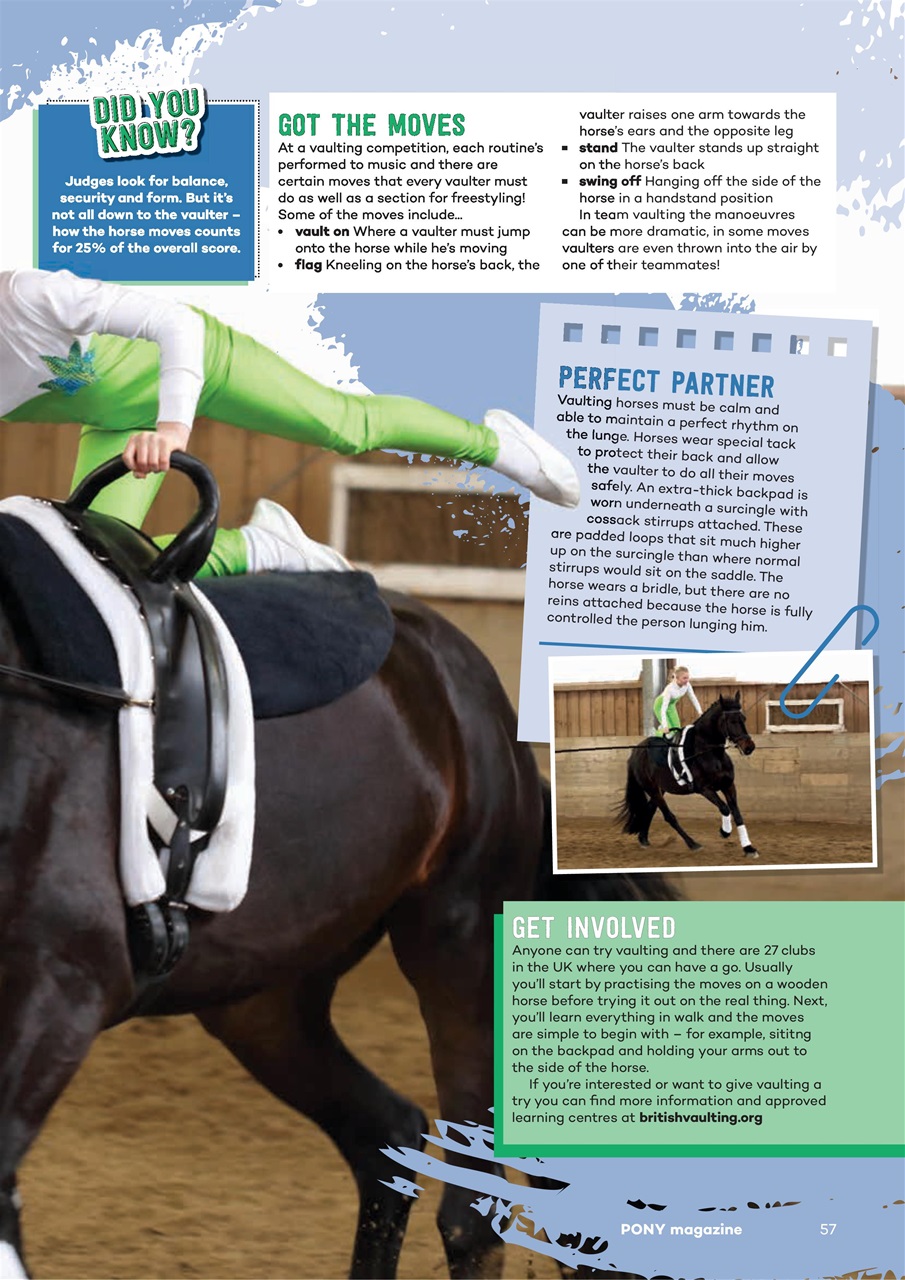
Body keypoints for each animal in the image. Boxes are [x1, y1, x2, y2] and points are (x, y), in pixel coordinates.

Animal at [617, 693, 758, 857]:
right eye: (732, 721)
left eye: (744, 718)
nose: (749, 747)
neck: (710, 752)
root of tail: (636, 751)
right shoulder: (704, 789)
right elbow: (725, 808)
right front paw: (724, 832)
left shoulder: (728, 785)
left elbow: (737, 814)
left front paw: (748, 848)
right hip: (651, 788)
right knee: (669, 816)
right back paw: (693, 844)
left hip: (659, 790)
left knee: (650, 809)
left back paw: (643, 839)